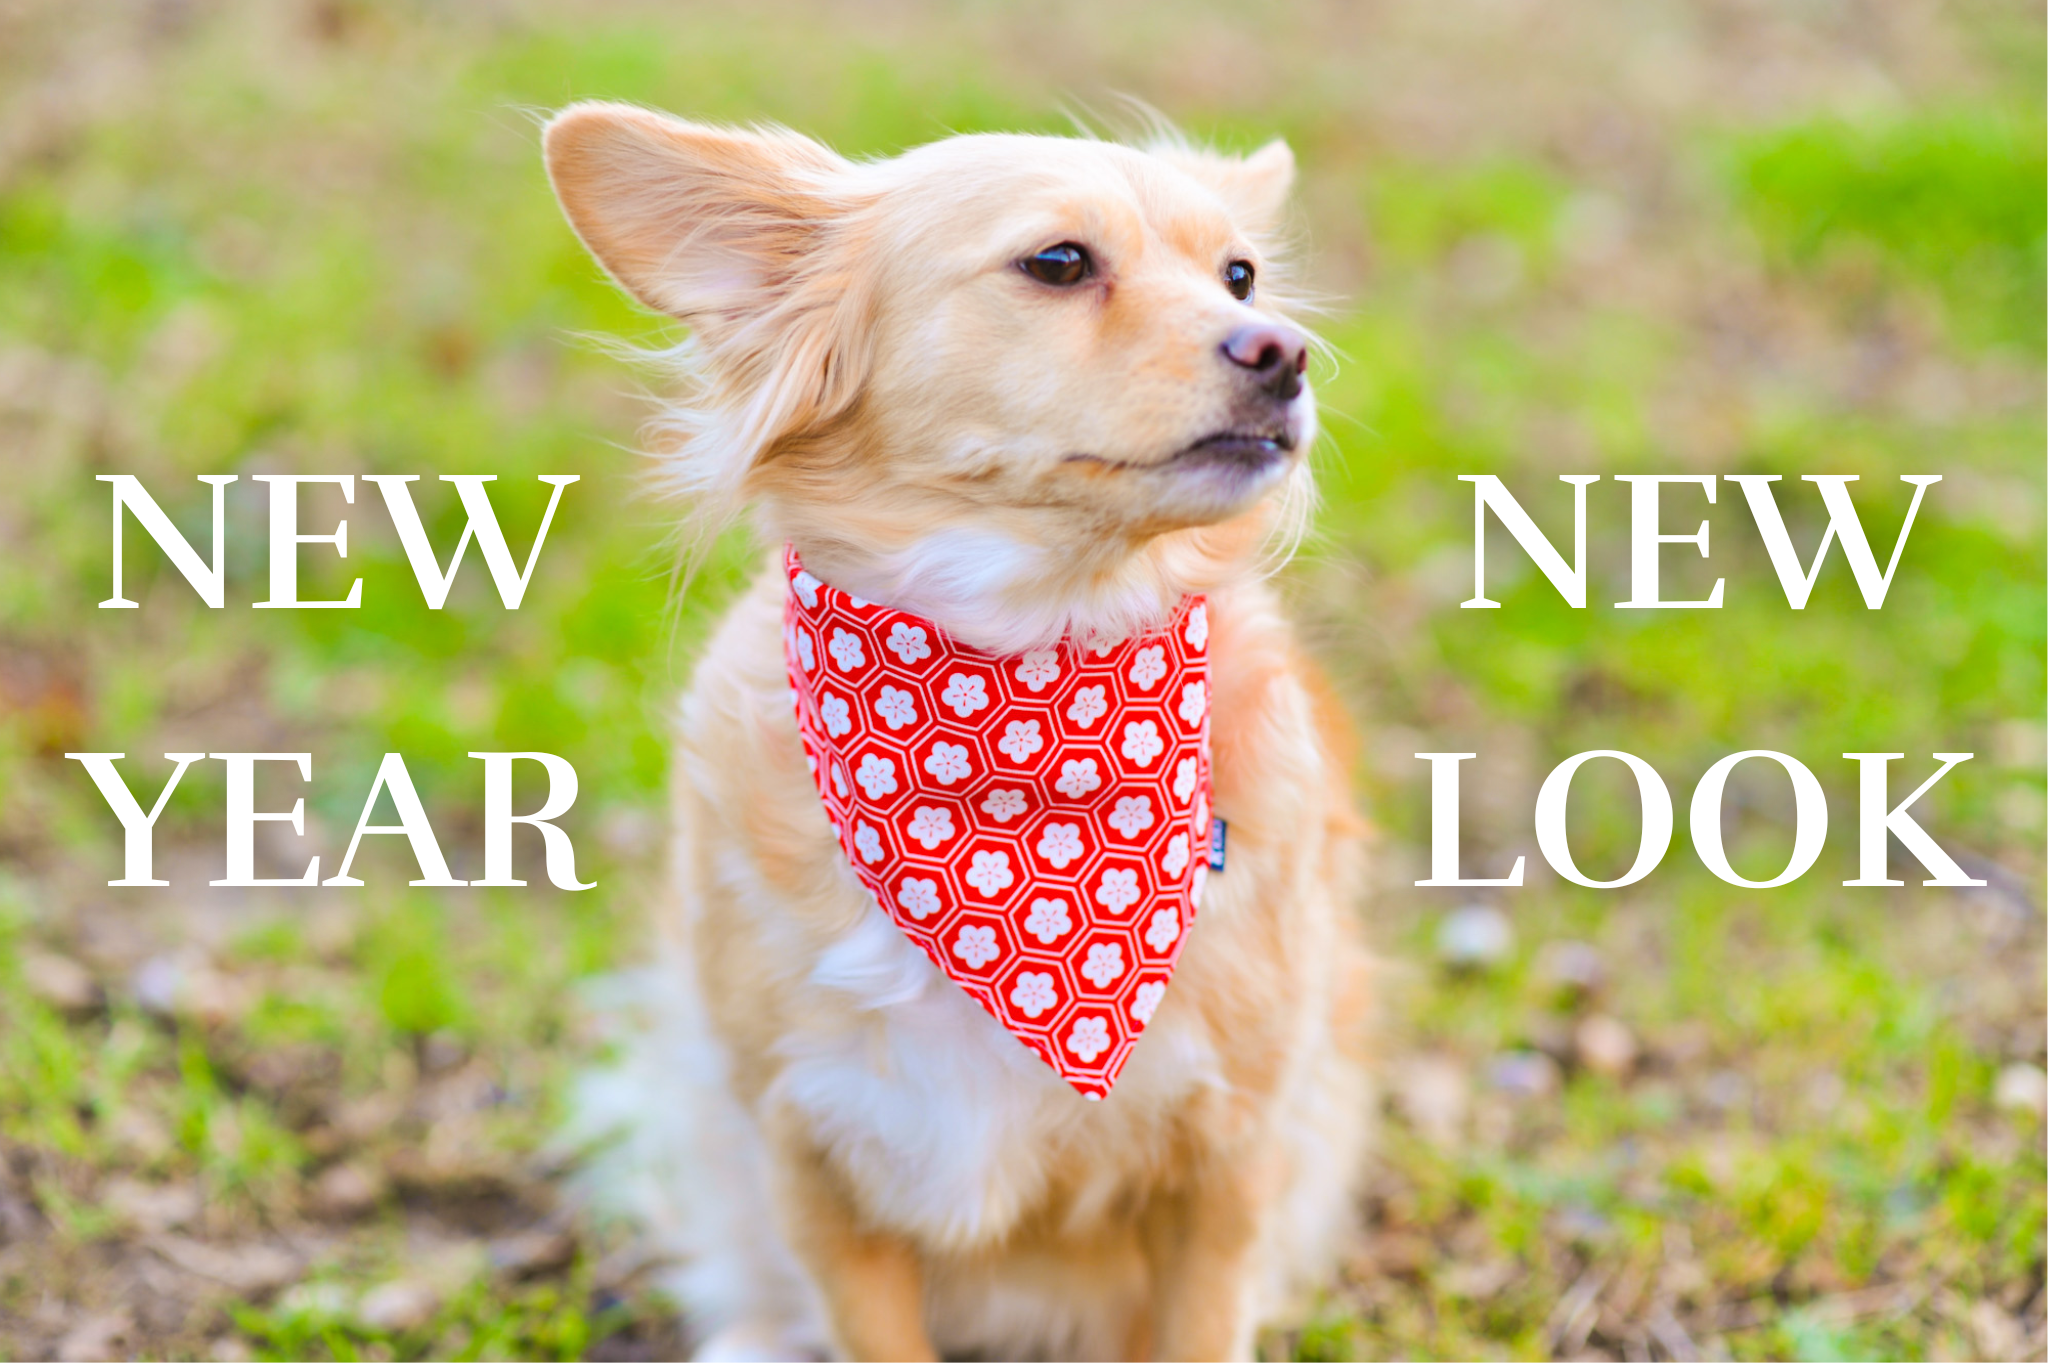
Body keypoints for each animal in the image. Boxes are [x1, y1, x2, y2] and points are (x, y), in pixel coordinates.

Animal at [548, 100, 1376, 1350]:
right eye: (1059, 263)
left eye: (1236, 275)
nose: (1282, 350)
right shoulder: (812, 1158)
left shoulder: (1228, 1167)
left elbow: (1196, 1326)